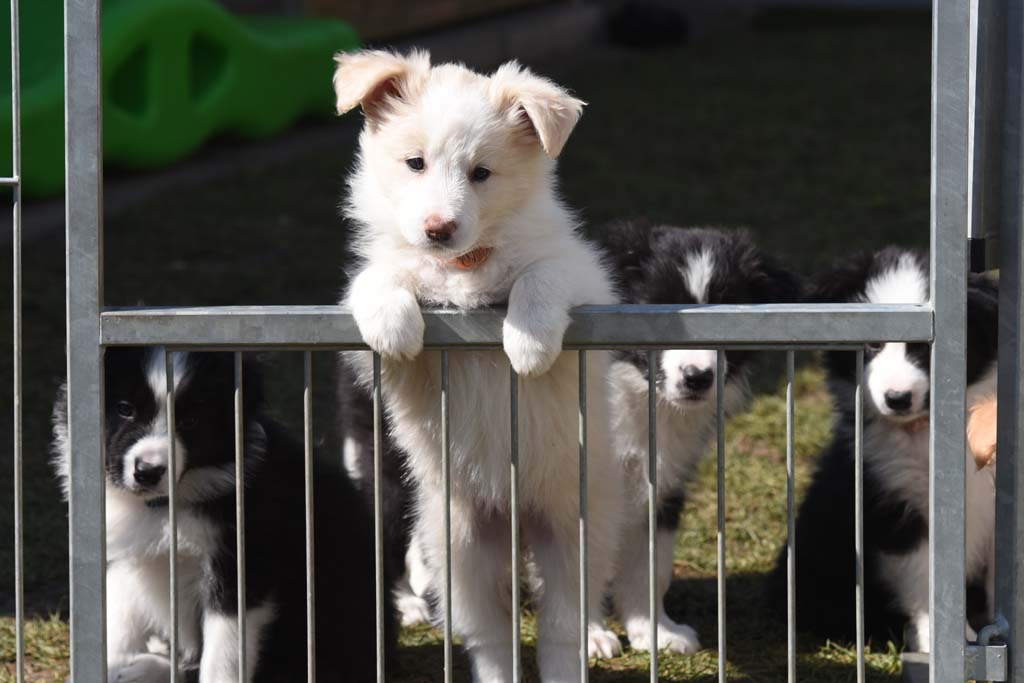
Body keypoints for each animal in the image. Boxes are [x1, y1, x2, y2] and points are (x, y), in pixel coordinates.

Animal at [50, 350, 391, 679]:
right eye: (124, 409)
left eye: (191, 420)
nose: (147, 472)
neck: (165, 505)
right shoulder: (128, 557)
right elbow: (119, 623)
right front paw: (113, 664)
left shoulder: (240, 563)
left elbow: (222, 654)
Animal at [335, 49, 622, 683]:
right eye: (415, 163)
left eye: (482, 173)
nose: (438, 229)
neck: (463, 267)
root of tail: (516, 520)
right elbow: (378, 276)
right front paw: (394, 325)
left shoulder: (584, 281)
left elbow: (543, 273)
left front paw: (529, 343)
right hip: (462, 547)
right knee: (491, 637)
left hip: (573, 532)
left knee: (562, 629)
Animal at [770, 249, 999, 651]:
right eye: (872, 345)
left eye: (924, 345)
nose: (897, 398)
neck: (923, 431)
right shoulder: (894, 502)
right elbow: (924, 577)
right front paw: (941, 640)